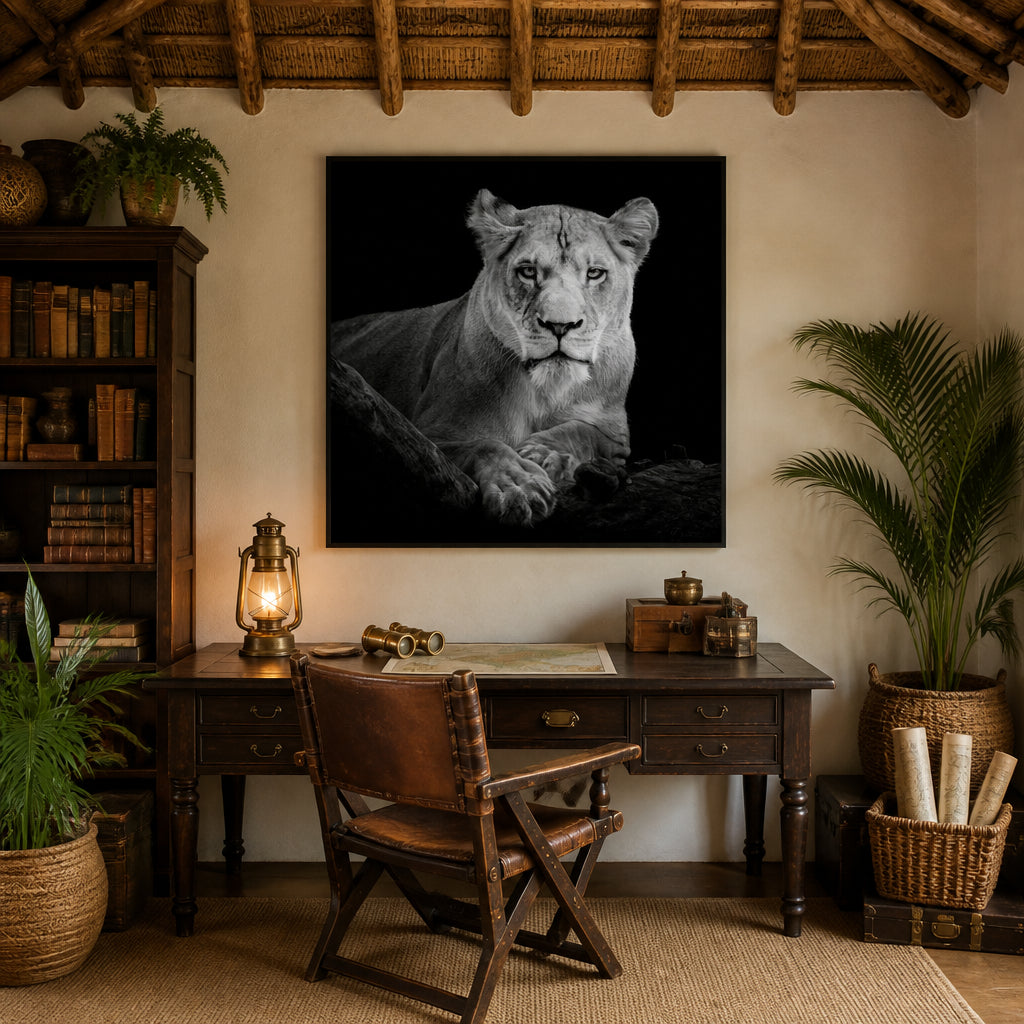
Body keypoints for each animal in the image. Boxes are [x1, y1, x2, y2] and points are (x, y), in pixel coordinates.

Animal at [329, 188, 660, 527]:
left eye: (595, 274)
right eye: (528, 271)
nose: (560, 325)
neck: (546, 389)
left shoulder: (615, 434)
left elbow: (584, 431)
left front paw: (545, 454)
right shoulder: (427, 436)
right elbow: (485, 445)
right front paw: (519, 486)